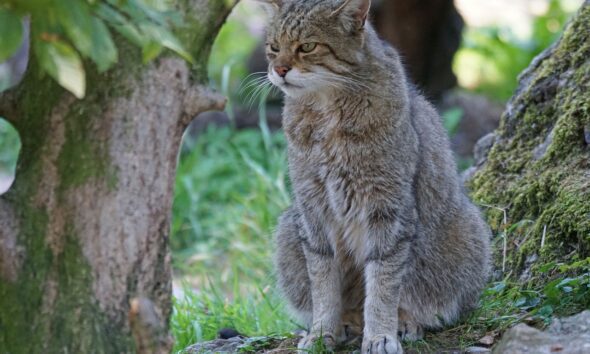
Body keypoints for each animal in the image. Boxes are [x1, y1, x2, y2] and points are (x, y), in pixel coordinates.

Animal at [260, 1, 494, 352]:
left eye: (308, 46)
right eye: (273, 48)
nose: (279, 69)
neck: (327, 111)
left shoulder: (388, 208)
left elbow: (383, 284)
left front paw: (381, 334)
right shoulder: (313, 208)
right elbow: (323, 283)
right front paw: (321, 332)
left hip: (463, 229)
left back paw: (405, 323)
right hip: (290, 226)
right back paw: (347, 323)